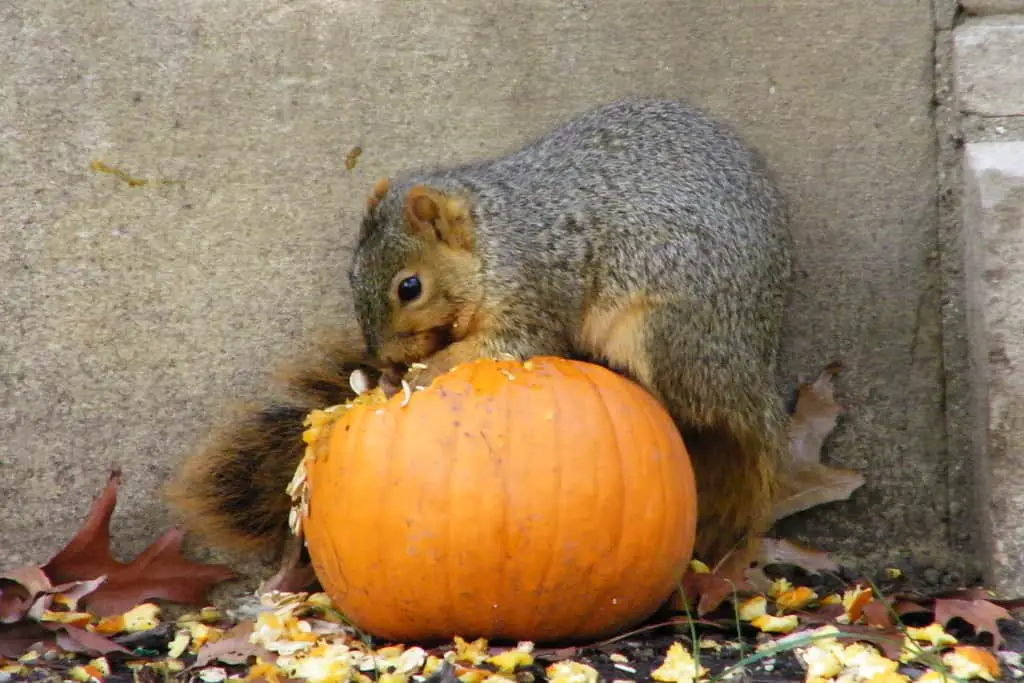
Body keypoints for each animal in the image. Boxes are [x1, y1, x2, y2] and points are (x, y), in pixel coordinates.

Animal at [165, 96, 790, 565]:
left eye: (409, 287)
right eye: (351, 274)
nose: (383, 358)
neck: (495, 238)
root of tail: (754, 375)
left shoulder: (533, 293)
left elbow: (507, 345)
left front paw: (421, 370)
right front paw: (384, 375)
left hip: (666, 330)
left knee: (686, 402)